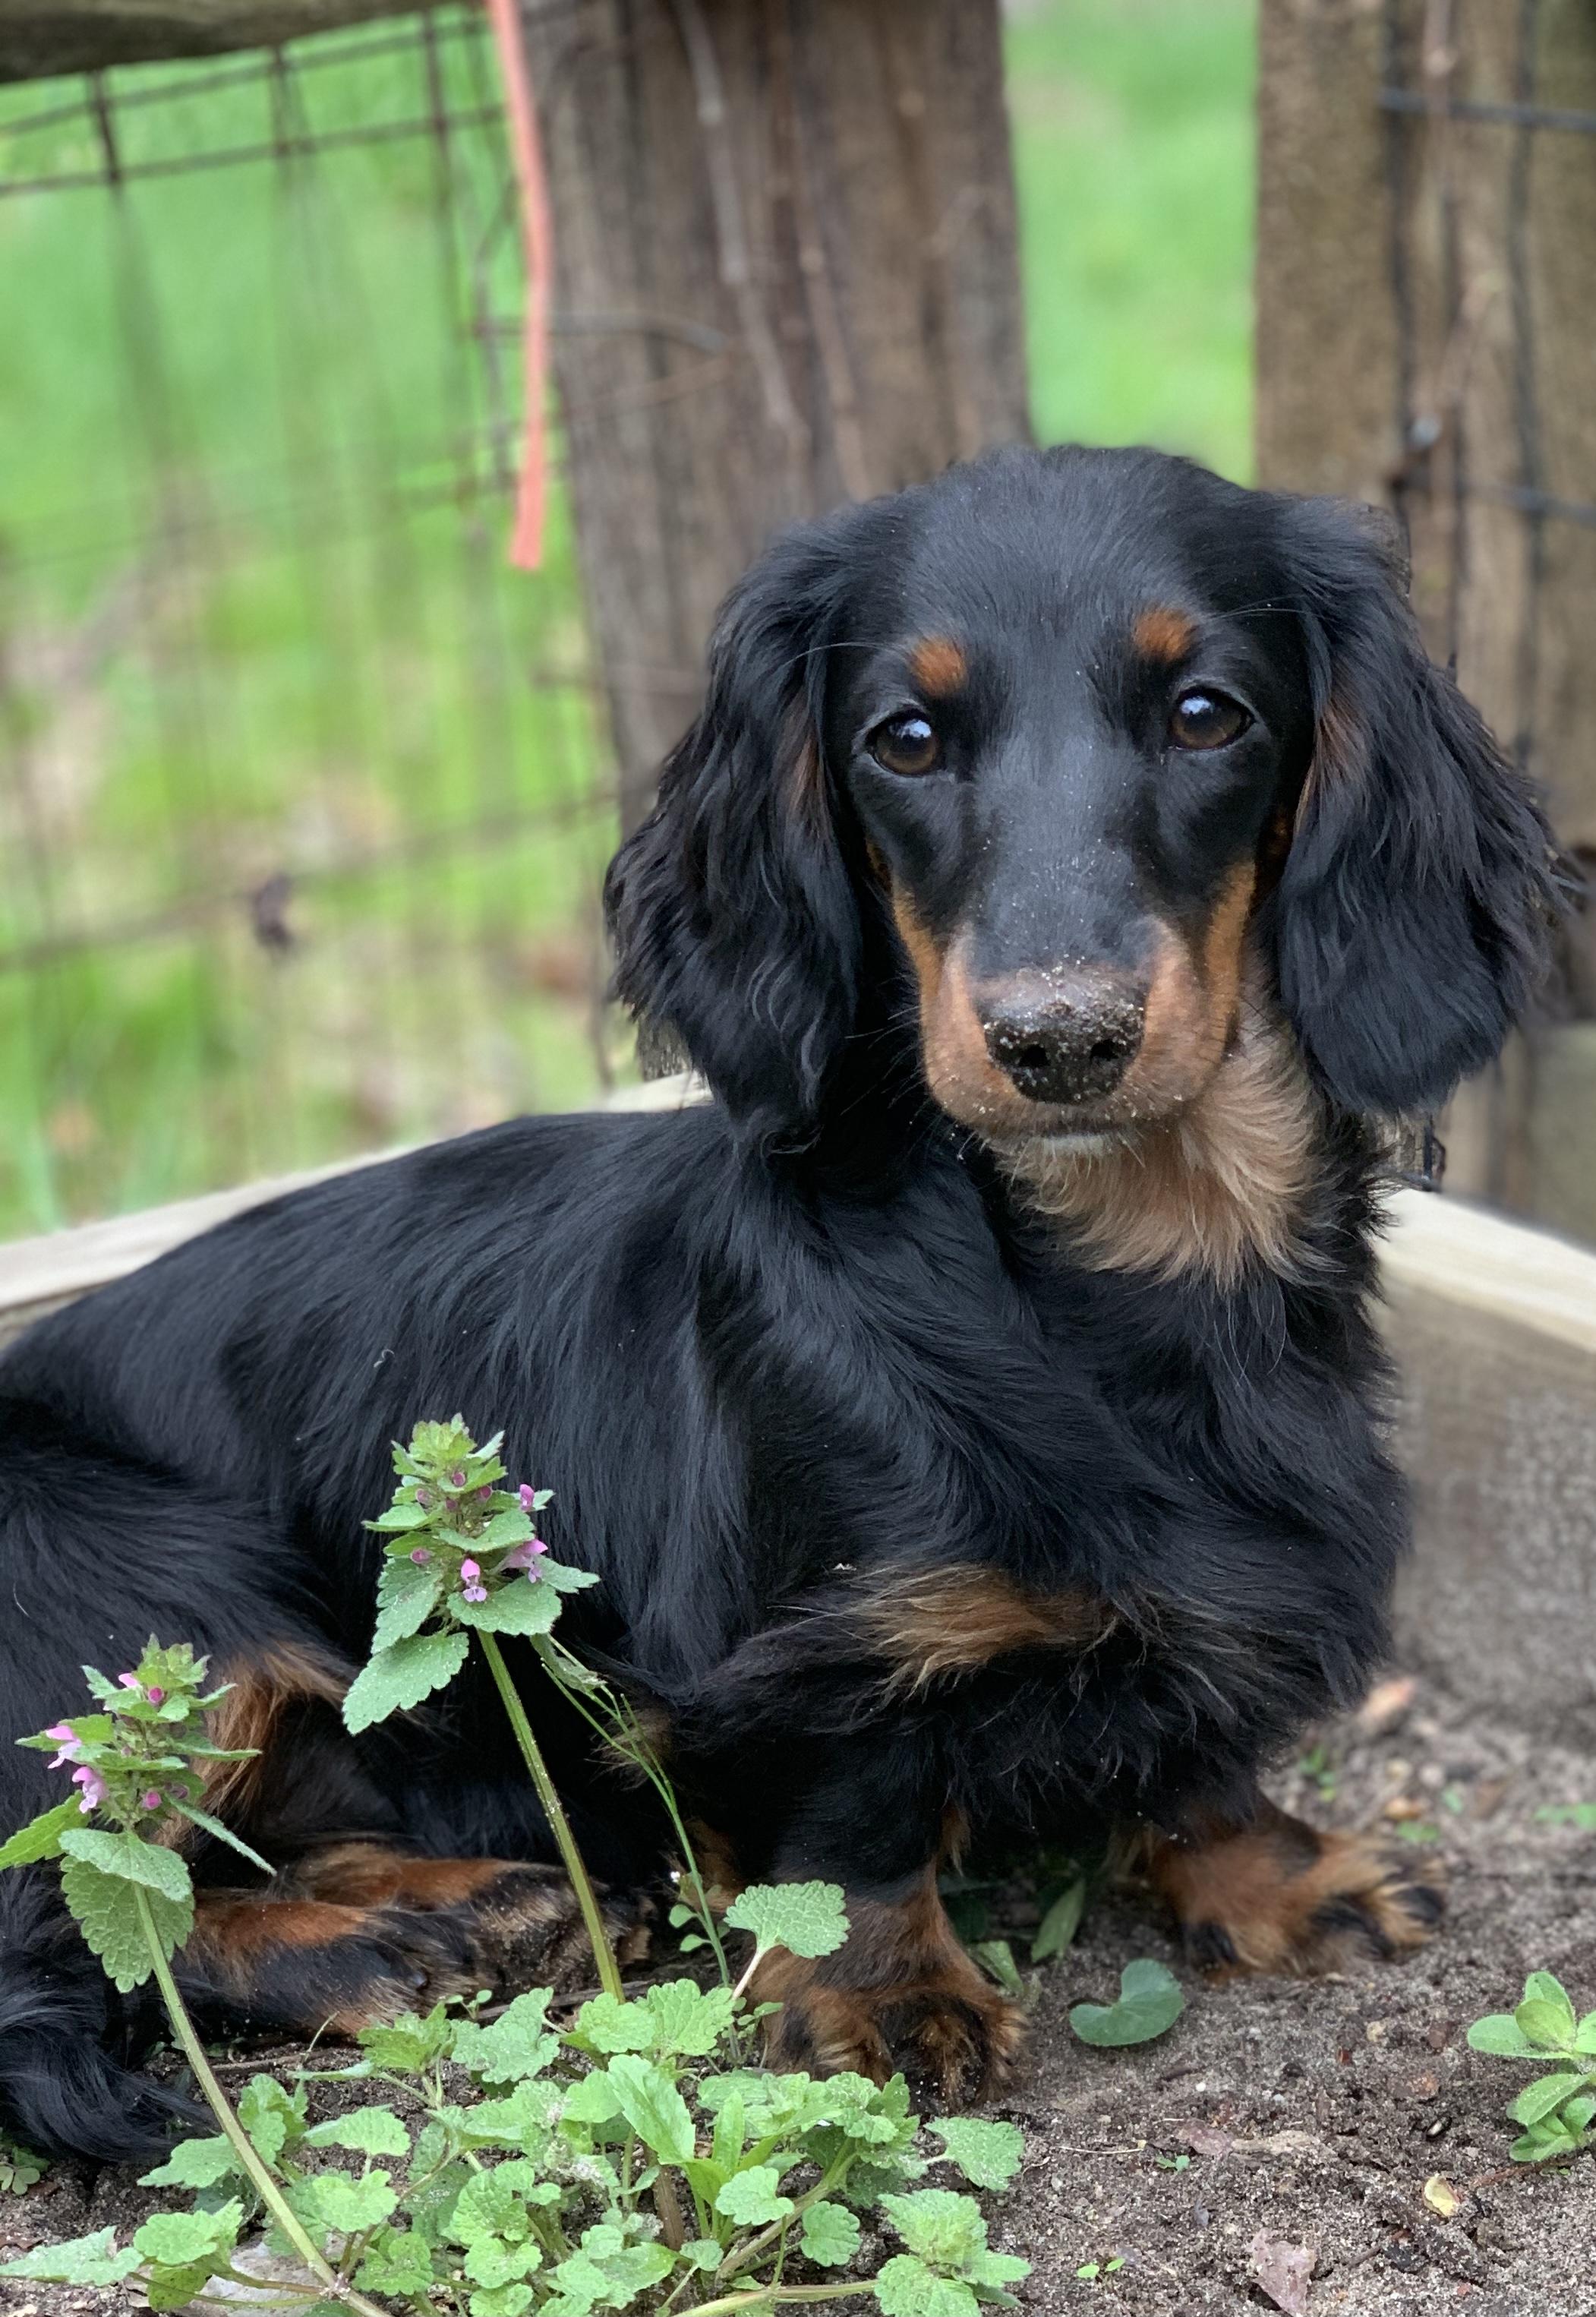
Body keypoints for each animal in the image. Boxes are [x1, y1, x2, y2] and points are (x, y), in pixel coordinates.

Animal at [0, 444, 1556, 2163]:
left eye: (1207, 712)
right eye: (907, 738)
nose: (1058, 1040)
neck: (1125, 1270)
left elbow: (1199, 1751)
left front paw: (1278, 1872)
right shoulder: (810, 1663)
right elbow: (852, 1822)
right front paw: (888, 1996)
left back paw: (458, 1904)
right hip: (148, 1600)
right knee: (96, 1906)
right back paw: (384, 1937)